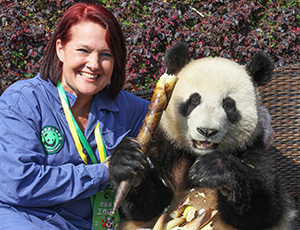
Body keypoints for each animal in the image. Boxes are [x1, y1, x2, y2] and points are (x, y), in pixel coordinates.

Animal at [108, 42, 296, 229]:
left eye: (228, 104)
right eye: (194, 100)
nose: (207, 131)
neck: (196, 154)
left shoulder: (251, 148)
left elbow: (265, 207)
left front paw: (212, 168)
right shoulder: (163, 146)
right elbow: (150, 206)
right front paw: (126, 162)